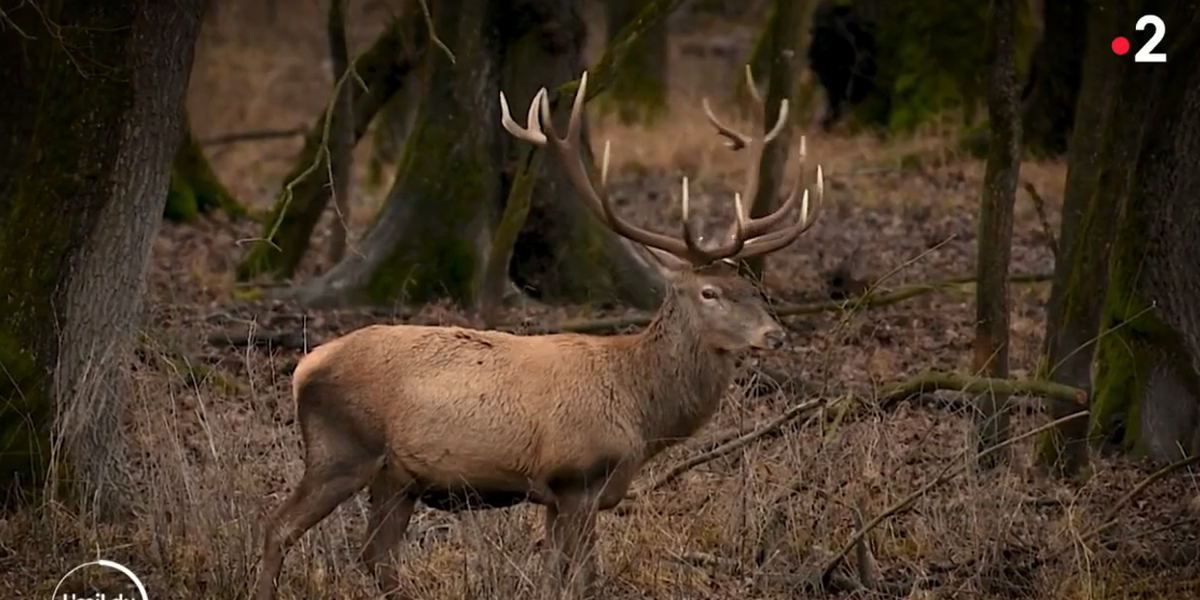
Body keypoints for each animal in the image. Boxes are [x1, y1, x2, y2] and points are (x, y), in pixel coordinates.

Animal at [254, 66, 825, 600]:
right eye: (709, 292)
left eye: (753, 287)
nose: (775, 335)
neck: (640, 411)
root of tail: (304, 367)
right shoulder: (577, 478)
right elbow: (582, 580)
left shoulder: (565, 495)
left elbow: (560, 578)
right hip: (343, 447)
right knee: (279, 527)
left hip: (396, 476)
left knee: (375, 556)